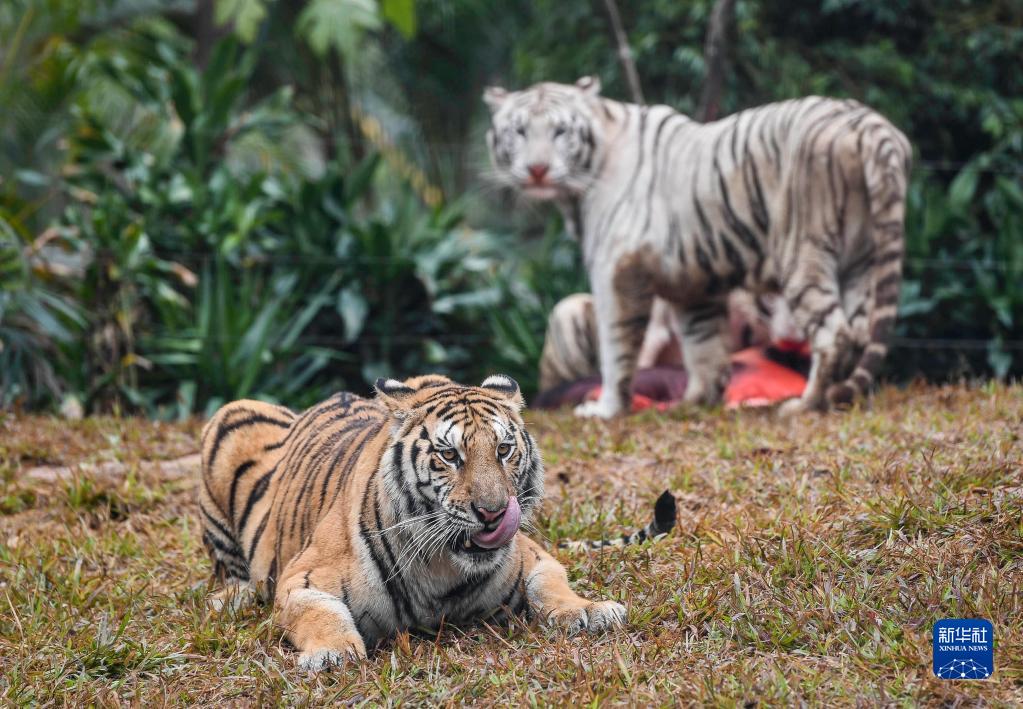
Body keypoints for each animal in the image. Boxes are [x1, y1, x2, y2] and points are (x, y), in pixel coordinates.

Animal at [197, 372, 671, 671]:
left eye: (503, 450)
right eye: (449, 455)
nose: (493, 512)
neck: (444, 569)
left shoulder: (534, 556)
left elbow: (551, 587)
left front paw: (591, 611)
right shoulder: (303, 577)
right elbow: (320, 614)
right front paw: (331, 653)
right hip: (227, 420)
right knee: (230, 570)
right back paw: (229, 599)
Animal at [486, 76, 912, 419]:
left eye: (560, 132)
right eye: (519, 131)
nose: (538, 170)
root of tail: (873, 126)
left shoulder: (616, 270)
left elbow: (617, 348)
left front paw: (607, 409)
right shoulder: (693, 284)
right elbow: (703, 346)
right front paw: (694, 402)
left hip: (805, 250)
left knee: (834, 334)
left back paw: (807, 404)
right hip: (862, 259)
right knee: (859, 332)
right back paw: (846, 399)